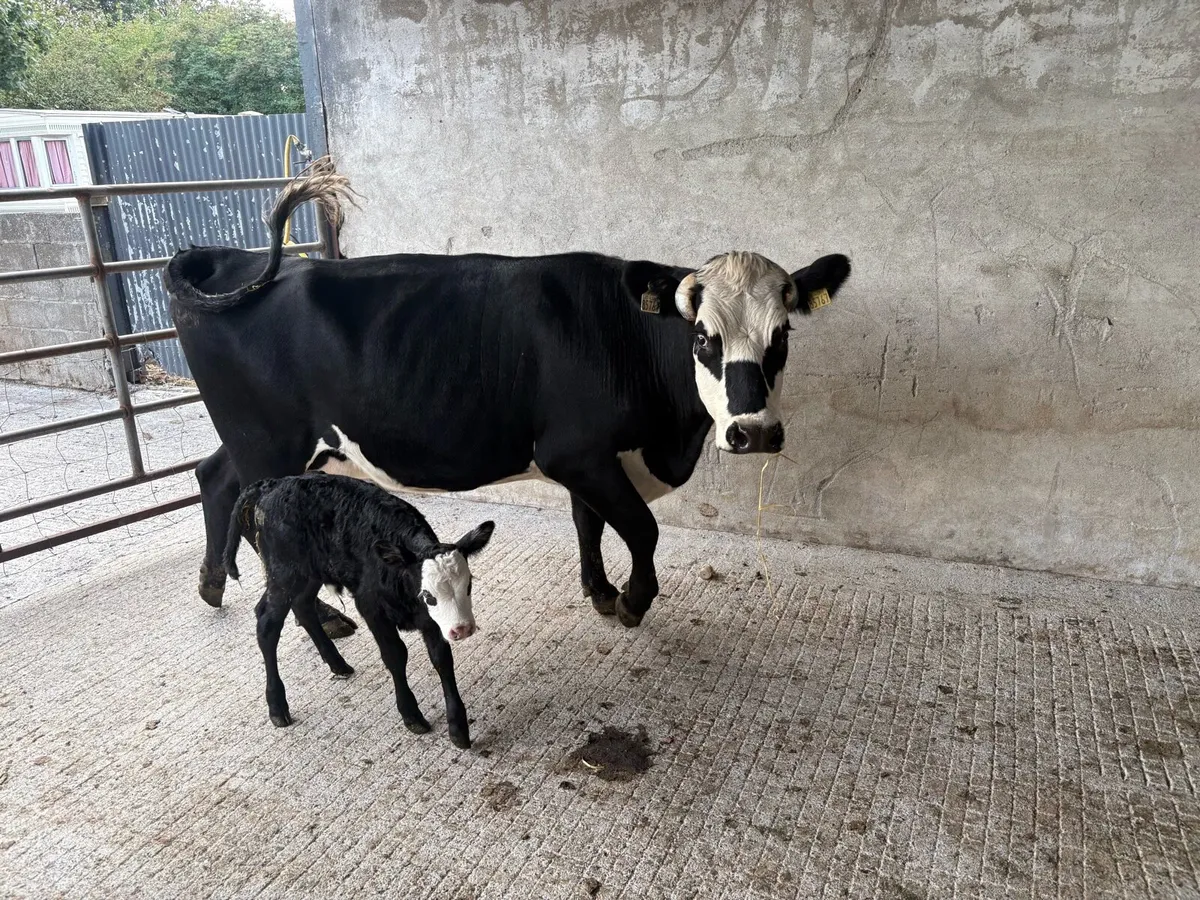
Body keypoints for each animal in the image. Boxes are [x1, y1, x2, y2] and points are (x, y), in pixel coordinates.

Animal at [166, 157, 851, 636]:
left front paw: (601, 593)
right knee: (252, 510)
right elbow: (641, 527)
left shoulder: (587, 460)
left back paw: (212, 584)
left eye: (782, 335)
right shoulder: (576, 452)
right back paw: (324, 619)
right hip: (268, 443)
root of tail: (230, 258)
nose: (753, 432)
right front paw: (632, 603)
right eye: (703, 336)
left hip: (263, 439)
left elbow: (588, 522)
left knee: (214, 475)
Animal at [225, 472, 493, 747]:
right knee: (267, 623)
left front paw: (458, 728)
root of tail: (271, 484)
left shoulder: (430, 620)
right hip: (283, 572)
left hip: (309, 572)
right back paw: (277, 707)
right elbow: (395, 655)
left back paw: (337, 663)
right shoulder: (371, 607)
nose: (462, 629)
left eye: (469, 585)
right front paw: (411, 715)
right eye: (429, 596)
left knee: (303, 606)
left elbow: (442, 659)